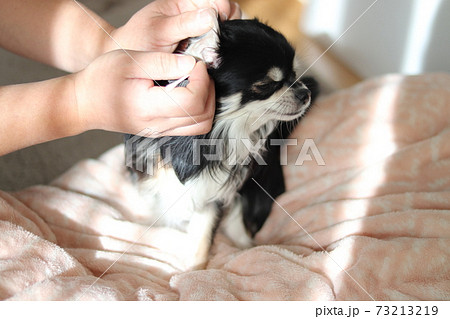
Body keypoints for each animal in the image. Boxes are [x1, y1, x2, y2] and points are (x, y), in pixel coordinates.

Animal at [125, 16, 318, 268]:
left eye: (295, 74)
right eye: (266, 85)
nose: (306, 94)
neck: (221, 130)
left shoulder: (211, 194)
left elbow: (203, 233)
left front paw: (194, 269)